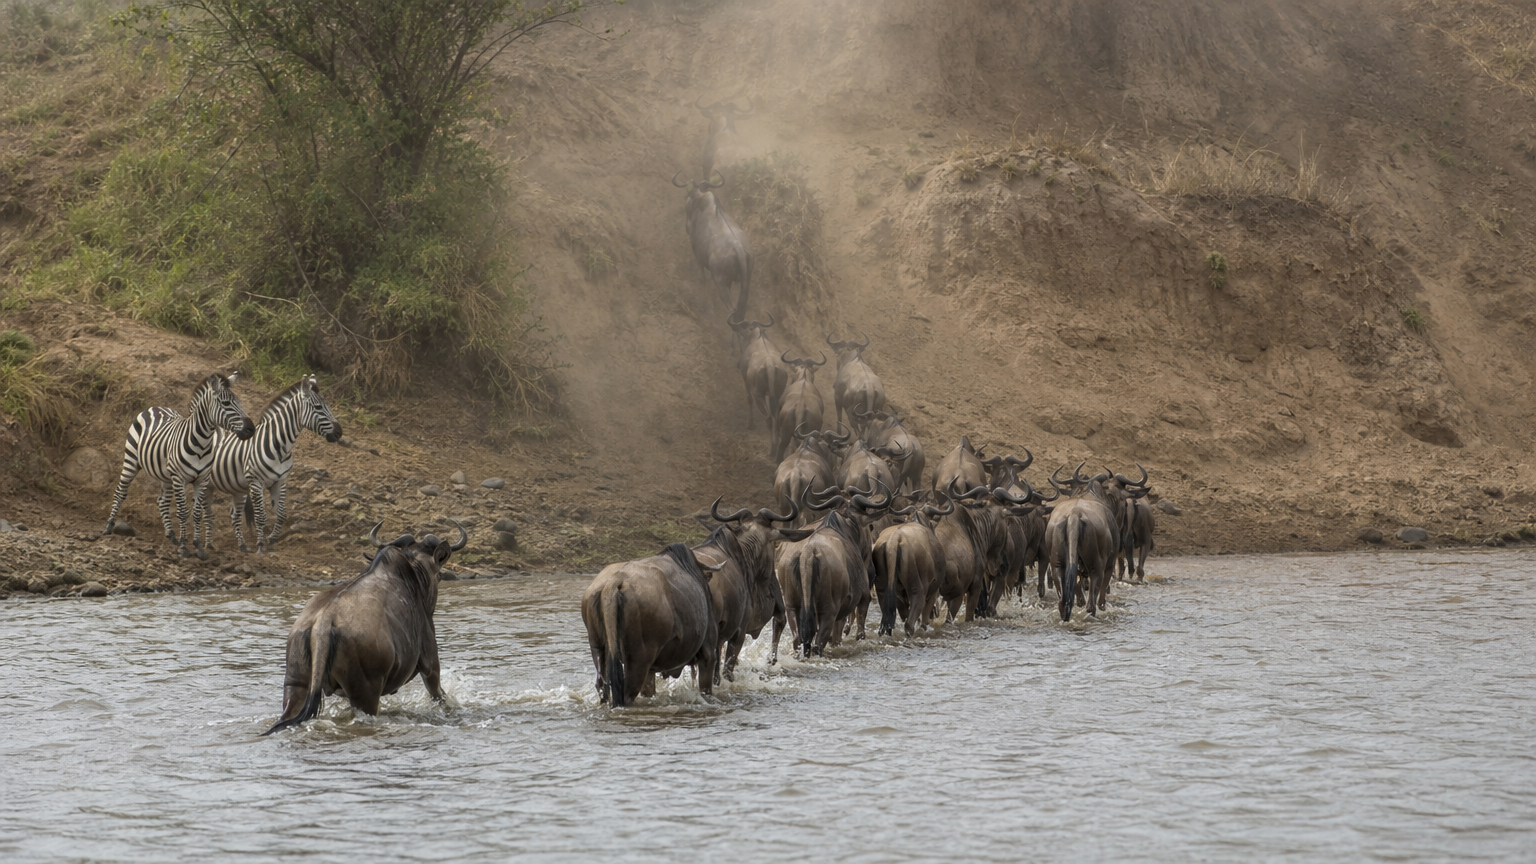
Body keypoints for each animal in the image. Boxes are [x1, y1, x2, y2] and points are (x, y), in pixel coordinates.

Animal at [103, 372, 256, 558]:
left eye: (239, 402)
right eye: (226, 403)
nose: (251, 429)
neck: (202, 444)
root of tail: (154, 407)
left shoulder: (202, 480)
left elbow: (197, 513)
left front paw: (198, 547)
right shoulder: (180, 478)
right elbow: (183, 512)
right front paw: (184, 547)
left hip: (166, 476)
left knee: (162, 501)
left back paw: (171, 535)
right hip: (131, 461)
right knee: (120, 491)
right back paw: (109, 526)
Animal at [191, 375, 343, 554]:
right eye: (318, 407)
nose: (339, 432)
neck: (280, 447)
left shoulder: (280, 481)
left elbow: (281, 514)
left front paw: (271, 540)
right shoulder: (256, 483)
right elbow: (261, 517)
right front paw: (260, 546)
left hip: (237, 488)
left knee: (234, 515)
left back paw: (241, 546)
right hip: (208, 483)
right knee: (208, 513)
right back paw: (208, 545)